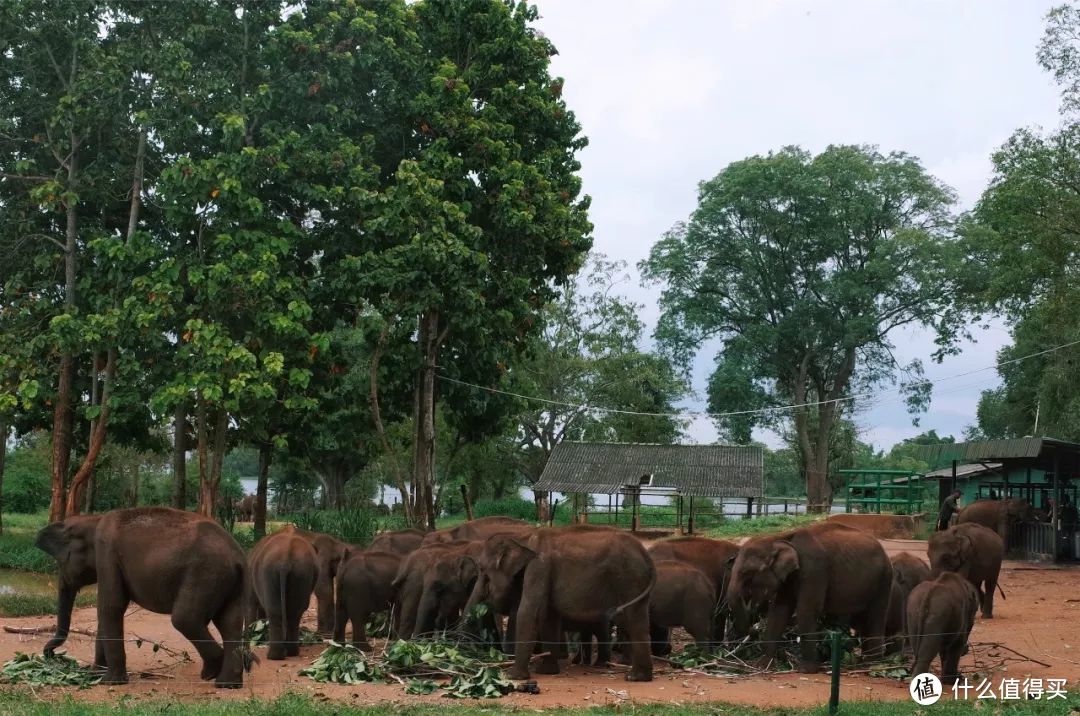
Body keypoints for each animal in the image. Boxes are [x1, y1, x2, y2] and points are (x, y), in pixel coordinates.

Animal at [34, 507, 249, 686]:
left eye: (61, 562)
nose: (53, 654)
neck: (94, 519)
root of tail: (239, 556)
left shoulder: (107, 553)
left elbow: (110, 606)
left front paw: (110, 682)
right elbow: (107, 611)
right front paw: (94, 675)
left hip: (204, 574)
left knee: (185, 619)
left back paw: (212, 672)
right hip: (229, 582)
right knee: (229, 623)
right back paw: (227, 684)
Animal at [249, 527, 319, 660]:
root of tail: (285, 561)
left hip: (270, 572)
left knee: (275, 612)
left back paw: (275, 656)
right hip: (301, 572)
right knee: (294, 612)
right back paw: (290, 653)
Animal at [462, 527, 652, 682]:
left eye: (483, 572)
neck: (522, 536)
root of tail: (644, 552)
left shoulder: (538, 567)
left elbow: (528, 611)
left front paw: (513, 676)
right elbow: (549, 617)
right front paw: (547, 672)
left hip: (629, 578)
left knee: (633, 619)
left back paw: (633, 677)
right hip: (636, 582)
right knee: (639, 620)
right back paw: (639, 676)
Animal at [725, 520, 894, 673]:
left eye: (747, 573)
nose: (753, 630)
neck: (779, 538)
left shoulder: (814, 569)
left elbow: (807, 610)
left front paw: (806, 670)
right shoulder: (788, 577)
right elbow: (779, 610)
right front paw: (761, 665)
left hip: (883, 580)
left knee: (875, 616)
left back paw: (872, 664)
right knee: (862, 618)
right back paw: (864, 661)